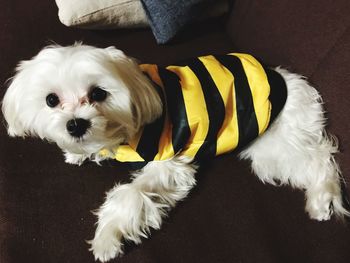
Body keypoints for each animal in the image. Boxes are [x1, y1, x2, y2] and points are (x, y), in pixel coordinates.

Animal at [1, 43, 348, 262]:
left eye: (98, 94)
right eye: (51, 100)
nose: (75, 125)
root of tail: (284, 77)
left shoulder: (167, 161)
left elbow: (131, 194)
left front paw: (107, 238)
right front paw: (78, 152)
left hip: (276, 141)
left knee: (318, 159)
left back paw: (322, 199)